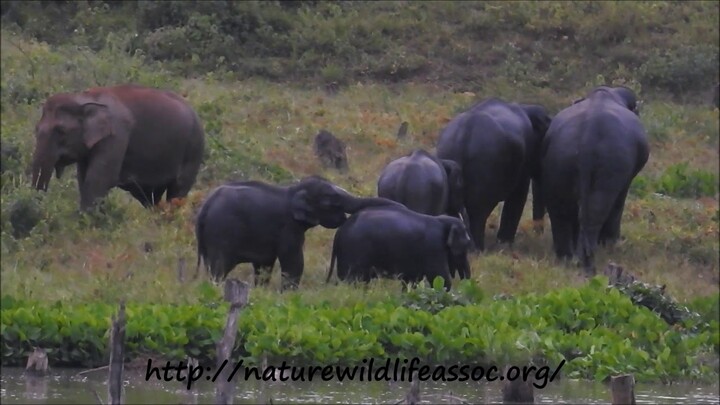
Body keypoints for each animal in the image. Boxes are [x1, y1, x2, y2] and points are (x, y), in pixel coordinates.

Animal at [31, 84, 205, 211]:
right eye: (36, 129)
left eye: (61, 131)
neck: (83, 99)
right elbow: (83, 177)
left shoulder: (117, 134)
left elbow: (99, 178)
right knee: (150, 196)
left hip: (194, 147)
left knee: (178, 189)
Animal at [194, 176, 403, 290]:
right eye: (331, 201)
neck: (293, 190)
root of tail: (205, 207)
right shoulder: (289, 228)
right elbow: (293, 261)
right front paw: (288, 294)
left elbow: (265, 264)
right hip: (220, 233)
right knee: (219, 268)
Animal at [325, 204, 473, 291]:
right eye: (465, 245)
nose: (466, 284)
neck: (442, 220)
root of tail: (339, 232)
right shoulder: (434, 247)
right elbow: (439, 277)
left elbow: (411, 280)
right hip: (354, 252)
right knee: (353, 280)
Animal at [436, 98, 553, 252]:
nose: (537, 235)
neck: (525, 107)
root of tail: (462, 137)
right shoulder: (524, 157)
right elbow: (518, 195)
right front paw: (505, 245)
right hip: (485, 166)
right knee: (478, 213)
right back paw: (478, 249)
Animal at [540, 86, 649, 274]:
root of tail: (588, 136)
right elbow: (618, 204)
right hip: (608, 171)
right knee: (596, 213)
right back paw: (588, 262)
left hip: (558, 164)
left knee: (560, 212)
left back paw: (566, 256)